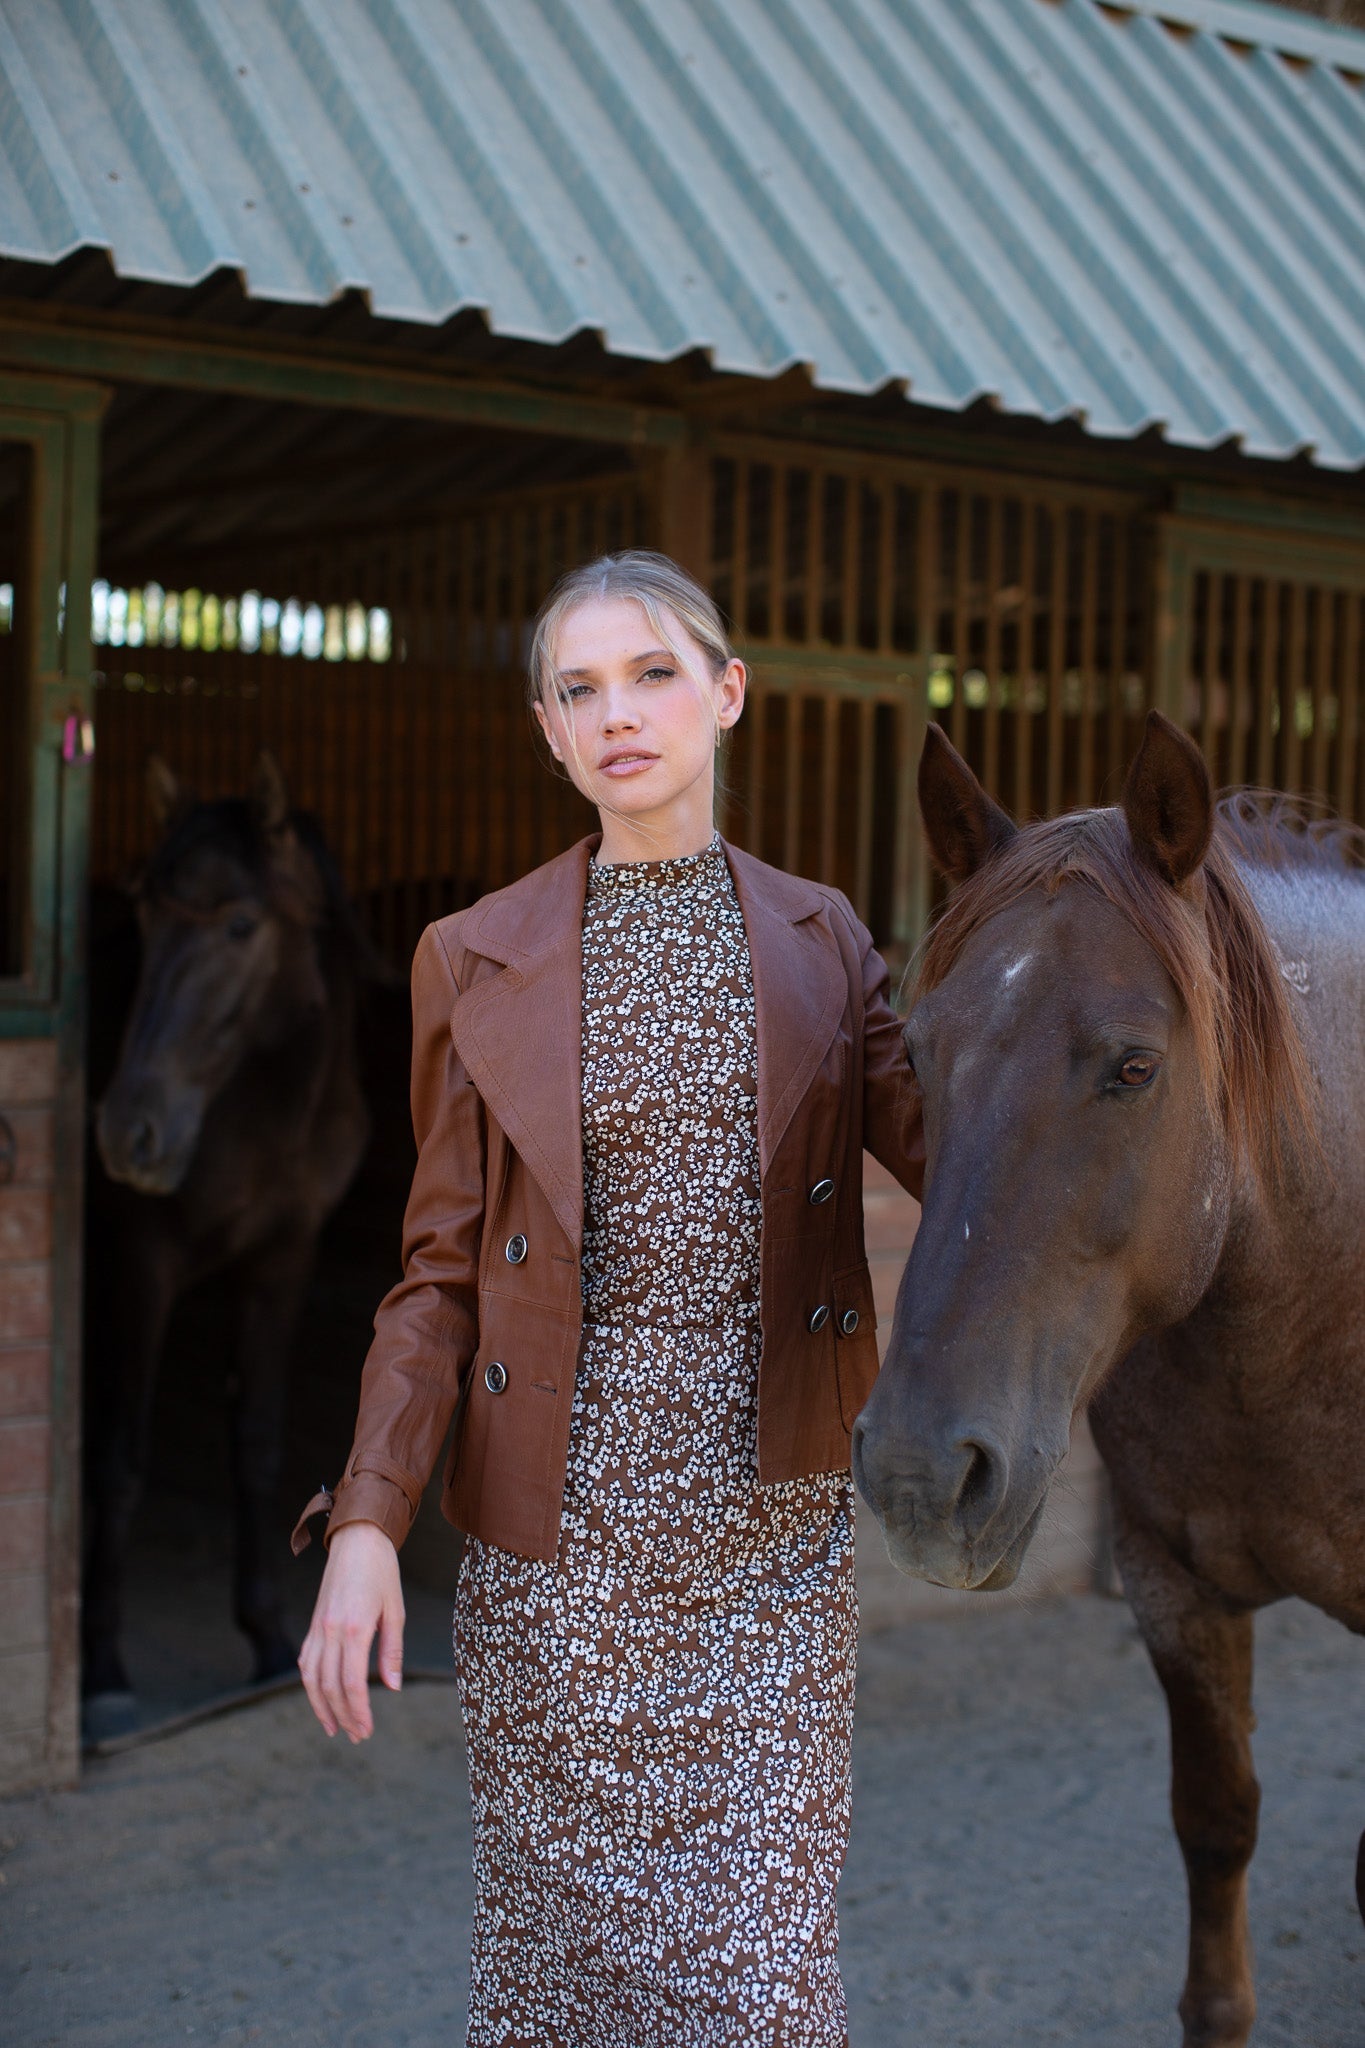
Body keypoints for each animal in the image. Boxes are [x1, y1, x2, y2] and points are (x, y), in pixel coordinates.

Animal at [86, 761, 374, 1736]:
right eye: (145, 915)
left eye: (241, 924)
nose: (128, 1131)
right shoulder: (142, 1266)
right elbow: (121, 1457)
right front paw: (102, 1676)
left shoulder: (281, 1263)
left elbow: (257, 1442)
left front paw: (270, 1638)